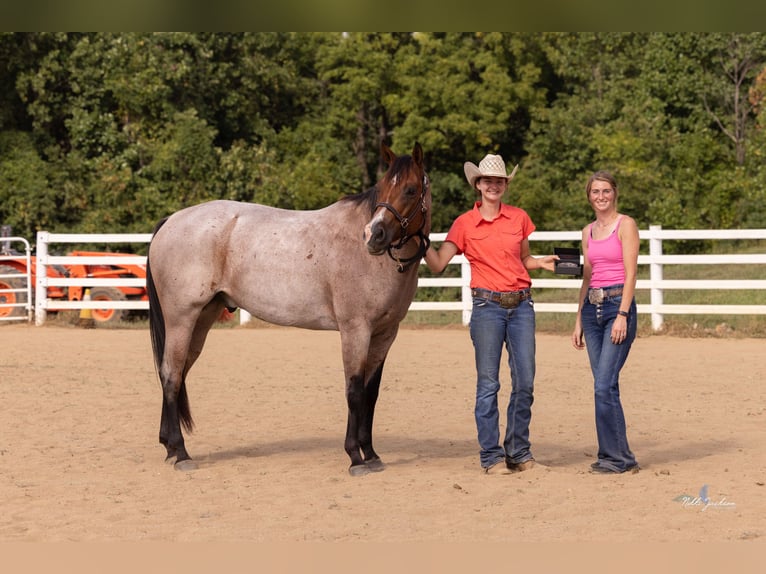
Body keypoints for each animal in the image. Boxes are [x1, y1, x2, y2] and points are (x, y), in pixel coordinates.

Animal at [146, 143, 432, 476]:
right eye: (383, 186)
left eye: (410, 189)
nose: (373, 236)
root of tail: (171, 220)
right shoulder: (355, 330)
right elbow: (354, 390)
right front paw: (355, 457)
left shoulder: (385, 334)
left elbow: (370, 394)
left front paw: (371, 454)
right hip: (182, 319)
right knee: (170, 374)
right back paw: (181, 453)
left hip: (201, 320)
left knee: (177, 373)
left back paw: (170, 446)